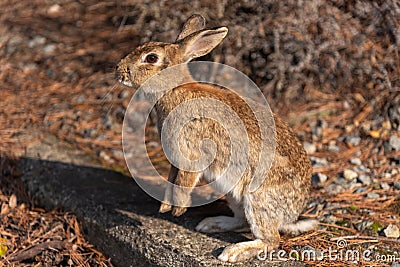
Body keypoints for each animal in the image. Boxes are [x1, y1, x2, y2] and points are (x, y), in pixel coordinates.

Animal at [115, 14, 316, 264]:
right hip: (234, 194)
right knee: (241, 221)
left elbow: (185, 182)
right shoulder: (175, 160)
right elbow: (173, 179)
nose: (119, 70)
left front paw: (178, 210)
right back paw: (211, 224)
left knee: (271, 239)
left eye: (151, 58)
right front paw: (165, 207)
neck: (174, 90)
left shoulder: (192, 152)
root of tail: (293, 212)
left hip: (257, 197)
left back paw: (233, 252)